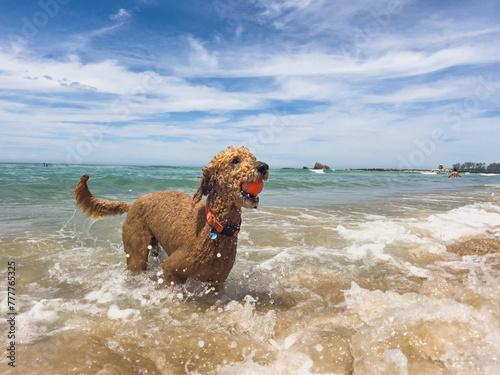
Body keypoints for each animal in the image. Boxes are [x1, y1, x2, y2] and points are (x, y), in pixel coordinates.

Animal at [73, 145, 270, 290]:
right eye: (235, 161)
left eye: (253, 158)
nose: (264, 166)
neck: (214, 226)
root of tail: (132, 205)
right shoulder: (171, 269)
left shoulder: (217, 283)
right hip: (136, 255)